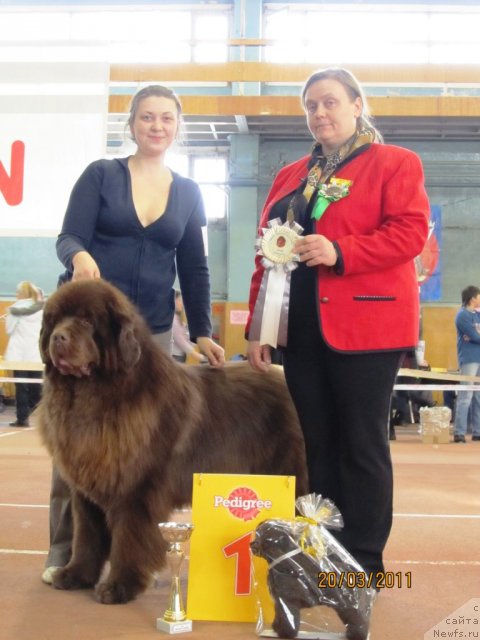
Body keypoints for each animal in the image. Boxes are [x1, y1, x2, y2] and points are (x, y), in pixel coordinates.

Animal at [36, 280, 308, 604]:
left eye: (87, 321)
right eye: (54, 320)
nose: (58, 337)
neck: (94, 396)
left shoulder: (136, 489)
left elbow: (128, 538)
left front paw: (119, 586)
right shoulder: (86, 488)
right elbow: (86, 535)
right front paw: (76, 575)